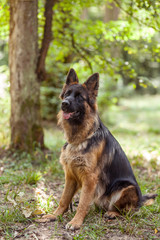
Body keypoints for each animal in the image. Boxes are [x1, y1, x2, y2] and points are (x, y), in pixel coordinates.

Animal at [39, 68, 157, 230]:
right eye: (67, 94)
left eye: (80, 97)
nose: (64, 103)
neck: (81, 138)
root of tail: (140, 200)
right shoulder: (70, 176)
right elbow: (64, 199)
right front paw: (54, 215)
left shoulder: (89, 178)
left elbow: (82, 203)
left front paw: (75, 222)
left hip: (127, 187)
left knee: (127, 211)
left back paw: (113, 213)